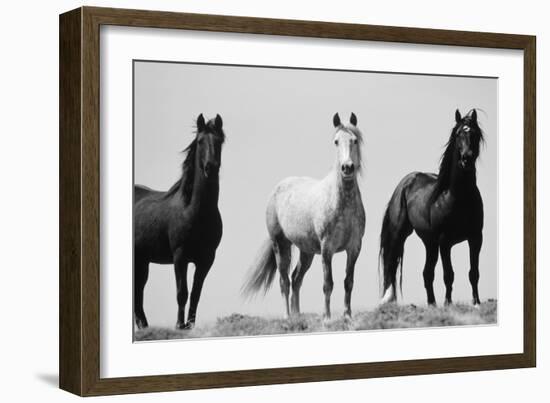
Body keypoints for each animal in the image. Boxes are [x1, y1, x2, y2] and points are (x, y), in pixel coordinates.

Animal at [134, 113, 226, 328]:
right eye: (200, 141)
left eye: (219, 141)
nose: (211, 168)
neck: (194, 211)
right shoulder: (180, 256)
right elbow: (182, 293)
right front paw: (179, 325)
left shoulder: (206, 259)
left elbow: (195, 294)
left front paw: (190, 326)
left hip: (142, 261)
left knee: (138, 292)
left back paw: (143, 326)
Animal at [245, 113, 366, 318]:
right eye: (335, 141)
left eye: (354, 140)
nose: (347, 168)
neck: (342, 203)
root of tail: (277, 189)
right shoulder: (327, 249)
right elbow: (328, 284)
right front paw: (327, 317)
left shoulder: (354, 247)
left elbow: (348, 282)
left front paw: (347, 316)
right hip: (281, 245)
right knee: (284, 281)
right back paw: (288, 317)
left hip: (306, 251)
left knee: (296, 279)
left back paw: (297, 316)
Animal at [382, 110, 486, 306]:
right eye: (458, 134)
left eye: (475, 134)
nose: (466, 158)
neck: (458, 197)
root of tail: (405, 182)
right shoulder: (445, 241)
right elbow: (449, 274)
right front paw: (448, 304)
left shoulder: (476, 238)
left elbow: (474, 273)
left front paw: (476, 302)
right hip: (401, 235)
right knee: (391, 265)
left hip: (430, 243)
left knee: (427, 273)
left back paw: (432, 304)